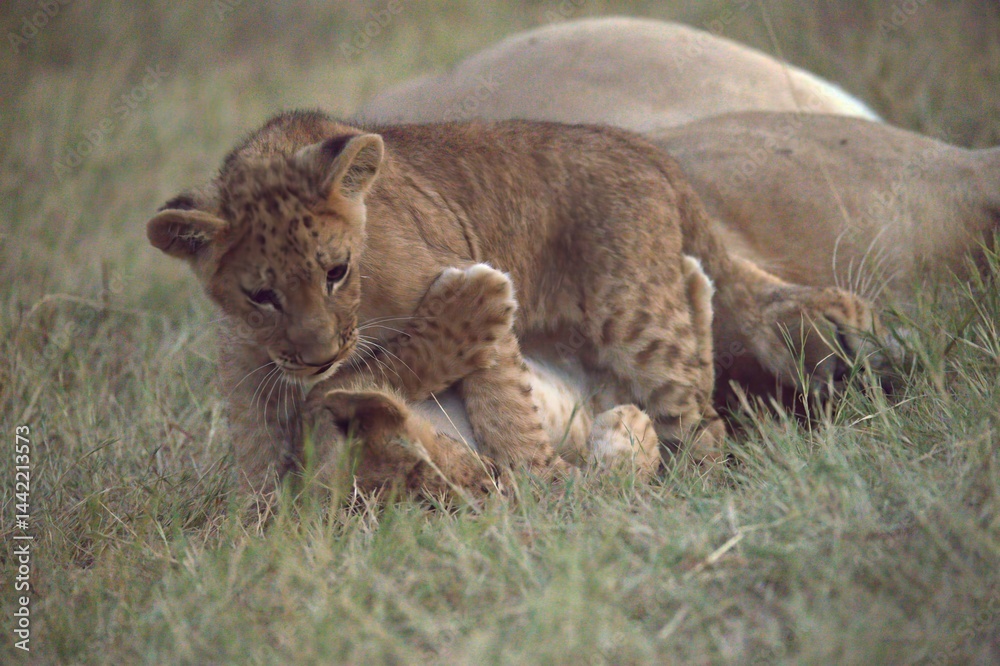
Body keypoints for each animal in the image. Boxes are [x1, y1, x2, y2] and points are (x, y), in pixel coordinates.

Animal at [147, 110, 878, 493]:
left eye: (336, 271)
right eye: (260, 294)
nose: (314, 354)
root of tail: (642, 147)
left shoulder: (454, 282)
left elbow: (464, 379)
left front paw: (535, 475)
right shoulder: (248, 371)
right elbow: (271, 460)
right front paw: (259, 526)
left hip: (638, 316)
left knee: (700, 417)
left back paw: (694, 490)